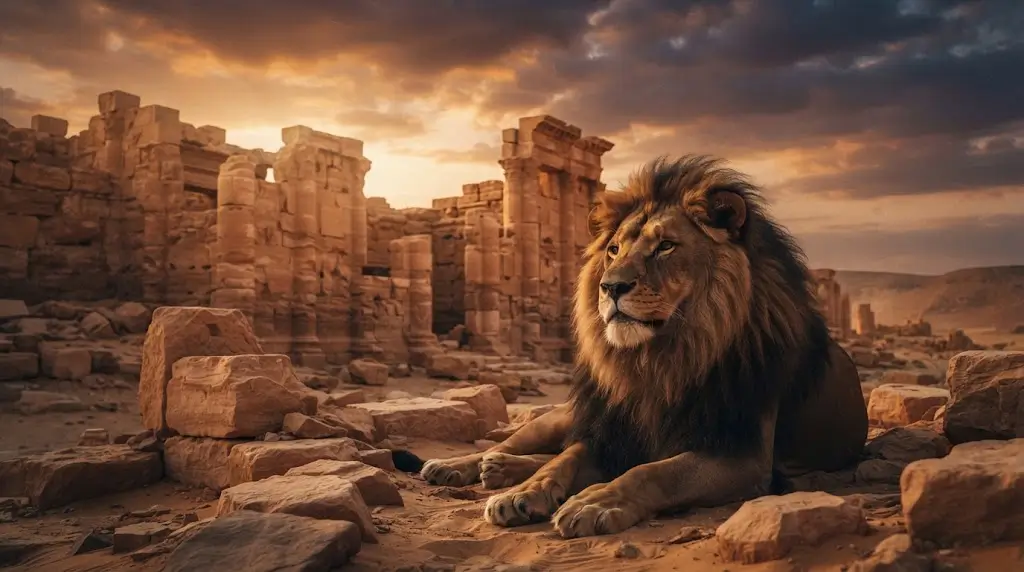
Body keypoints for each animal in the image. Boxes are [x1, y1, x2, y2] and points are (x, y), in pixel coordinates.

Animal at [421, 155, 868, 539]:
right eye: (613, 249)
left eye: (666, 246)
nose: (611, 287)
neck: (661, 360)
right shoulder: (611, 431)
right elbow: (563, 460)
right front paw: (522, 494)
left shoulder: (742, 455)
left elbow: (652, 472)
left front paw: (594, 503)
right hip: (565, 415)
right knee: (511, 443)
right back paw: (467, 467)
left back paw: (498, 470)